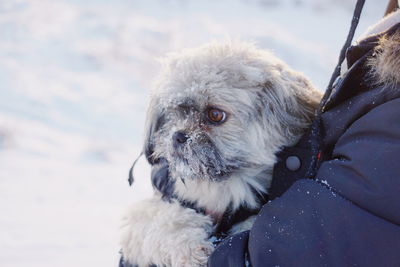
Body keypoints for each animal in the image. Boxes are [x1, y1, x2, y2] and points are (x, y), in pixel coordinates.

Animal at [119, 42, 322, 267]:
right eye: (176, 111)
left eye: (216, 115)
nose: (178, 136)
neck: (223, 186)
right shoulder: (147, 214)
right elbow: (162, 220)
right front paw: (192, 248)